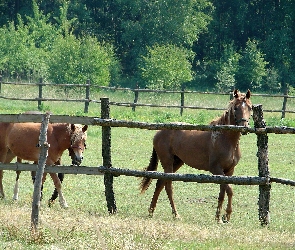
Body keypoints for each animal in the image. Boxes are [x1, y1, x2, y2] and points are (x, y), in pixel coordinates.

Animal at [140, 89, 252, 223]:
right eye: (235, 108)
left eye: (250, 107)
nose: (244, 127)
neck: (224, 138)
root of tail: (158, 132)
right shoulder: (216, 169)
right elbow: (229, 190)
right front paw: (226, 215)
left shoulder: (229, 171)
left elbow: (222, 192)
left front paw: (218, 217)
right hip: (167, 162)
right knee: (168, 186)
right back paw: (176, 214)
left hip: (177, 162)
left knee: (160, 184)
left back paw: (151, 211)